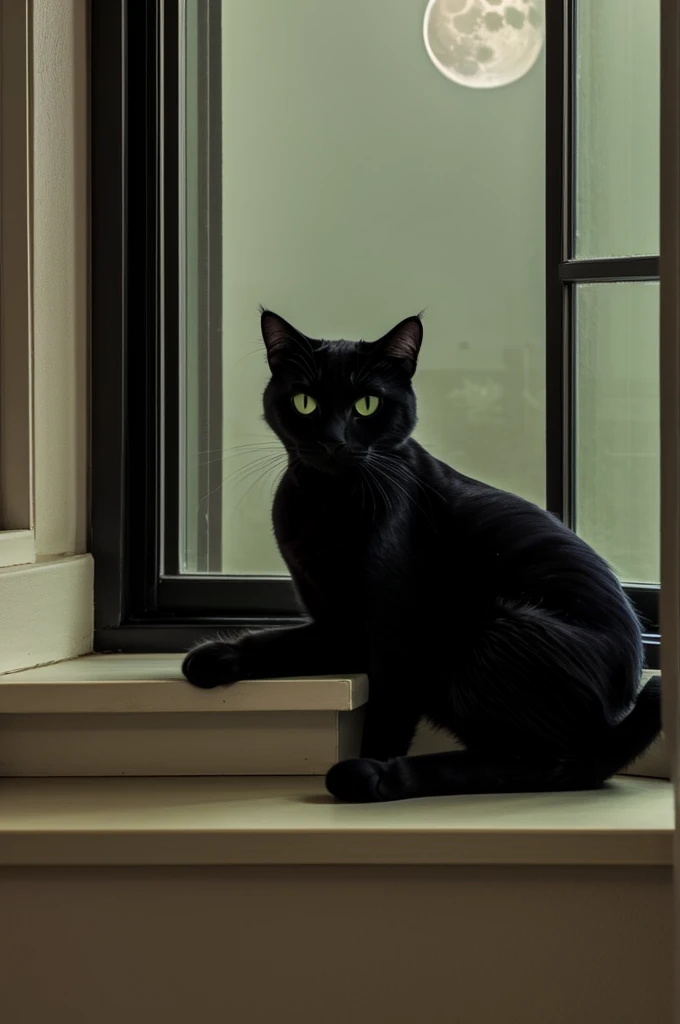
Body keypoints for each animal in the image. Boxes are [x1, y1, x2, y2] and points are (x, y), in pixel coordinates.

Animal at [183, 307, 659, 802]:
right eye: (305, 402)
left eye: (367, 405)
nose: (333, 441)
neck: (327, 504)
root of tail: (615, 722)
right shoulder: (342, 627)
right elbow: (283, 640)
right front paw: (214, 657)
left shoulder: (394, 633)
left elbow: (386, 714)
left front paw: (373, 758)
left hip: (493, 628)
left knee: (556, 765)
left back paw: (371, 777)